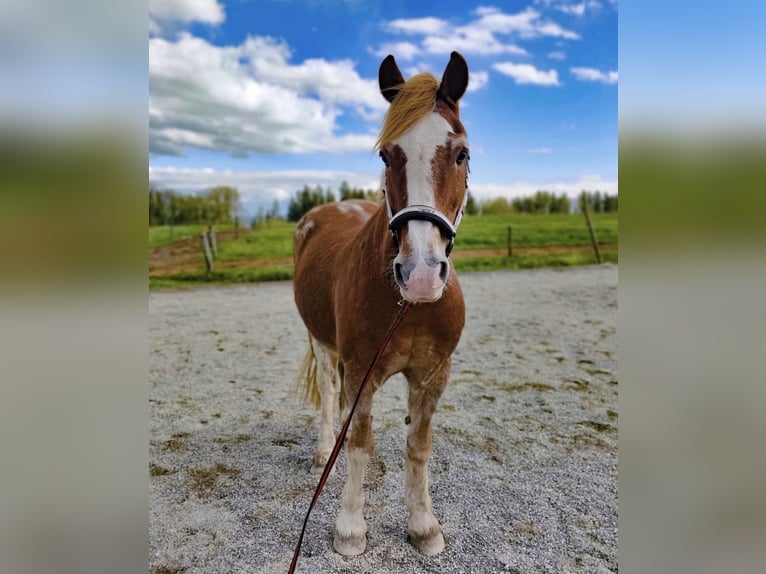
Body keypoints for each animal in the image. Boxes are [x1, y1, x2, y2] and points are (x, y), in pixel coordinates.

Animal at [294, 53, 472, 560]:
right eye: (385, 155)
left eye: (461, 153)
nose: (421, 273)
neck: (406, 308)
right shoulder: (361, 372)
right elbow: (358, 444)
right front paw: (350, 528)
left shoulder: (433, 374)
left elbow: (418, 445)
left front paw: (423, 526)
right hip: (322, 344)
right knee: (330, 393)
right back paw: (323, 452)